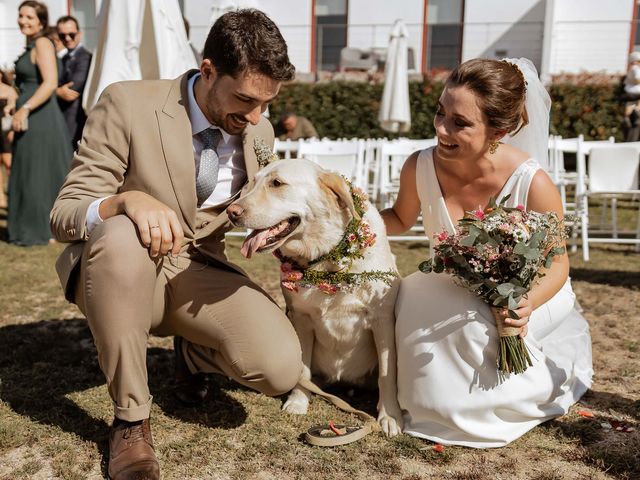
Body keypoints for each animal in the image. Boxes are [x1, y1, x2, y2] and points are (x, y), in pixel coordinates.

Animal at [228, 159, 402, 436]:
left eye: (277, 183)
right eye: (252, 183)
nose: (231, 212)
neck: (328, 262)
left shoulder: (382, 319)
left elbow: (388, 371)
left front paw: (390, 416)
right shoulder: (300, 318)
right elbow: (303, 366)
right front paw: (298, 401)